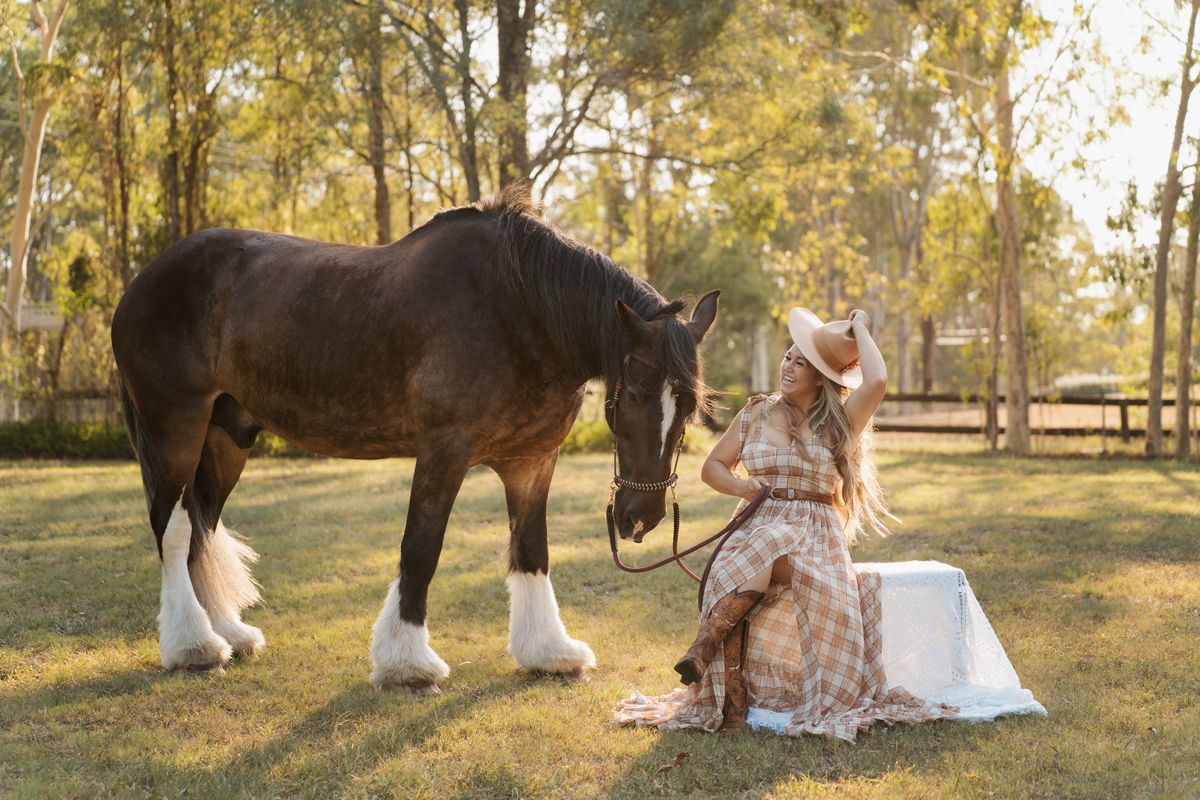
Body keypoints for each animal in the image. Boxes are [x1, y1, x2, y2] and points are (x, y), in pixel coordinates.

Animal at [110, 184, 719, 693]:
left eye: (691, 408)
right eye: (634, 393)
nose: (640, 518)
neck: (520, 310)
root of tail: (141, 282)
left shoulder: (532, 460)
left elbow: (531, 549)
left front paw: (548, 651)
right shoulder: (443, 451)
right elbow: (421, 548)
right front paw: (406, 663)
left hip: (227, 437)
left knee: (202, 525)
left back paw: (229, 636)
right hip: (176, 427)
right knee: (173, 529)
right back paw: (193, 647)